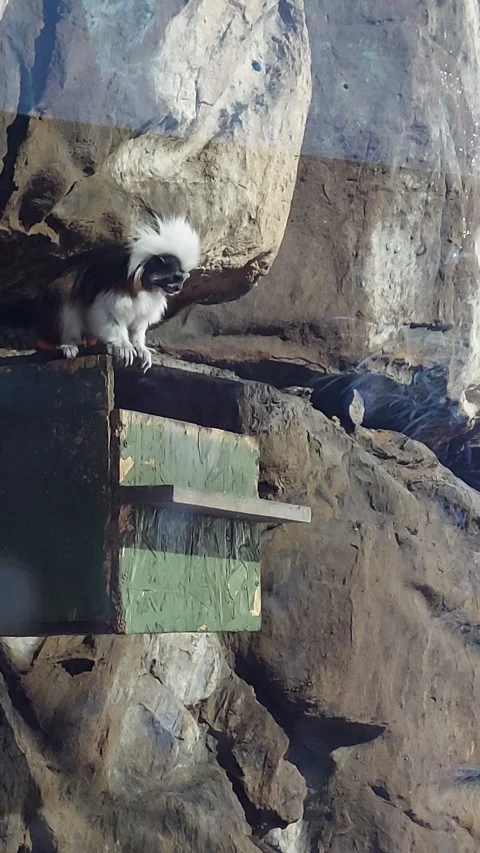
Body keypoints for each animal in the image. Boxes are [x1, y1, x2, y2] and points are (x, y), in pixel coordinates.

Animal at [1, 214, 200, 372]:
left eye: (182, 279)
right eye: (175, 277)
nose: (178, 288)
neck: (142, 283)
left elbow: (138, 324)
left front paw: (140, 347)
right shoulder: (113, 281)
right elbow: (104, 314)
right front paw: (123, 345)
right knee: (65, 292)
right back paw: (69, 343)